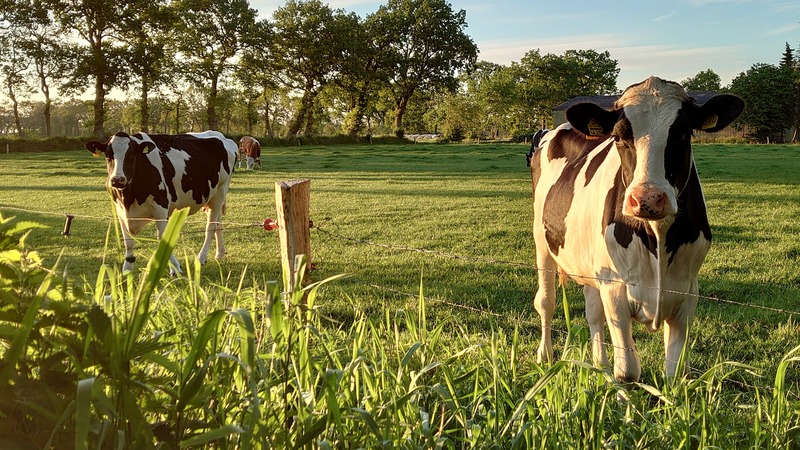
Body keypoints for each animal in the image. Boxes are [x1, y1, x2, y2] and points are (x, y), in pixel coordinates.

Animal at [88, 130, 239, 274]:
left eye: (130, 156)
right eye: (108, 156)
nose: (117, 180)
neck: (128, 199)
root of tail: (221, 136)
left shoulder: (161, 207)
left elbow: (162, 237)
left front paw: (175, 268)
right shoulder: (120, 211)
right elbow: (128, 241)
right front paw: (127, 269)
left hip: (220, 191)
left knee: (211, 225)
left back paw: (201, 258)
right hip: (212, 197)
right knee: (217, 220)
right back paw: (220, 253)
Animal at [532, 76, 744, 380]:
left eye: (683, 134)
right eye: (620, 137)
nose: (648, 199)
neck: (657, 235)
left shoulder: (687, 292)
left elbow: (674, 372)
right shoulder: (616, 289)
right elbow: (628, 372)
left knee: (593, 311)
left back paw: (600, 364)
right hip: (542, 243)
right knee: (546, 301)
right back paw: (545, 356)